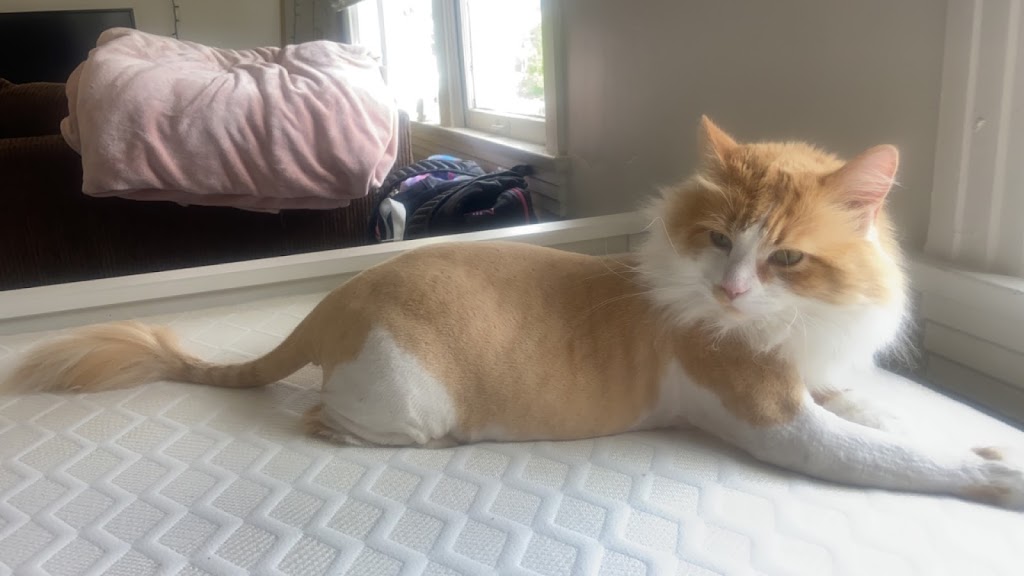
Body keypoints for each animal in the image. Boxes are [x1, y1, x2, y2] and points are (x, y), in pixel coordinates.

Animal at [5, 116, 1022, 509]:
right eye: (717, 241)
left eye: (786, 258)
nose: (731, 290)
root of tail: (336, 299)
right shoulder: (779, 421)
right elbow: (897, 458)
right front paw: (992, 475)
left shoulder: (811, 378)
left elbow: (877, 412)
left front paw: (948, 430)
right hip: (409, 401)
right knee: (323, 418)